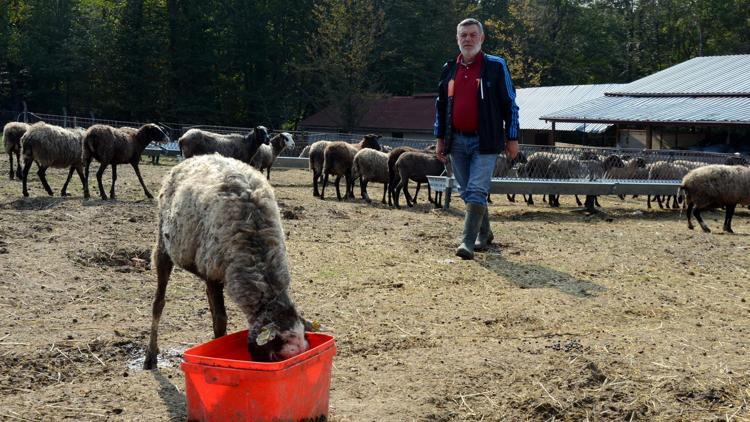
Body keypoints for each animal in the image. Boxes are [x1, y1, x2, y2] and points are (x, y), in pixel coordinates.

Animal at [145, 153, 310, 368]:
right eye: (275, 356)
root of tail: (197, 157)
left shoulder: (214, 275)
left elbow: (217, 316)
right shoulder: (213, 274)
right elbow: (220, 320)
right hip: (165, 246)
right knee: (159, 302)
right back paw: (150, 355)